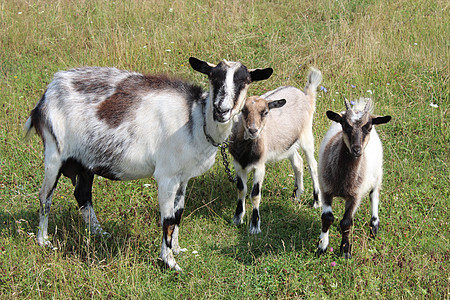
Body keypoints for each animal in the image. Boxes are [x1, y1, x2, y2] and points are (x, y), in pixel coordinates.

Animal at [25, 57, 274, 270]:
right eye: (213, 77)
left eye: (244, 81)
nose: (222, 110)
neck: (194, 120)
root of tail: (47, 94)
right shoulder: (166, 177)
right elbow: (168, 219)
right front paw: (169, 262)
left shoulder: (183, 177)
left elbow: (178, 213)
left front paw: (177, 249)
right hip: (54, 152)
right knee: (45, 196)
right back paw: (43, 240)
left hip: (86, 160)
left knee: (83, 195)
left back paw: (98, 233)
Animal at [229, 68, 324, 234]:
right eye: (244, 110)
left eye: (265, 112)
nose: (253, 130)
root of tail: (306, 96)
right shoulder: (238, 165)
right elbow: (241, 190)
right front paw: (237, 218)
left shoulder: (260, 166)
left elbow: (255, 195)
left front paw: (254, 226)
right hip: (289, 144)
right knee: (298, 163)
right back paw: (297, 195)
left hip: (306, 135)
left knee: (312, 165)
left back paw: (316, 201)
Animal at [316, 98, 390, 258]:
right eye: (345, 125)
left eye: (368, 127)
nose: (356, 150)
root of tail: (358, 107)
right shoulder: (325, 190)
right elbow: (327, 218)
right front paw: (322, 247)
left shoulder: (355, 196)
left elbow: (346, 222)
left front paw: (345, 250)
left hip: (377, 175)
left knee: (374, 196)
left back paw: (374, 227)